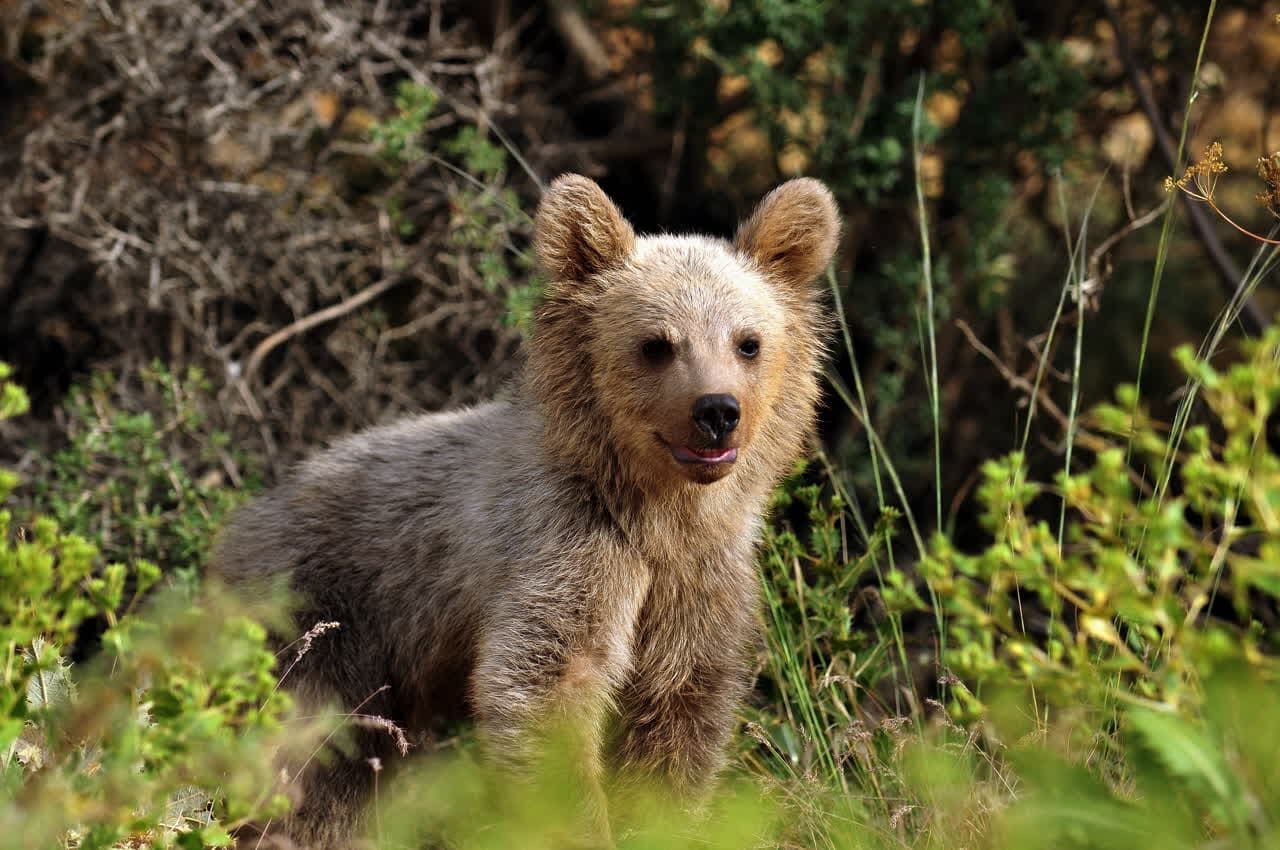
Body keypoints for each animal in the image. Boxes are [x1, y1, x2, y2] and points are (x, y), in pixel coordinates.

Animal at [212, 175, 839, 844]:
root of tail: (241, 525)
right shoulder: (568, 548)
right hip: (323, 624)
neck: (658, 513)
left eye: (748, 342)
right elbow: (547, 684)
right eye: (656, 344)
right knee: (320, 764)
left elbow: (681, 711)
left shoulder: (700, 580)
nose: (717, 410)